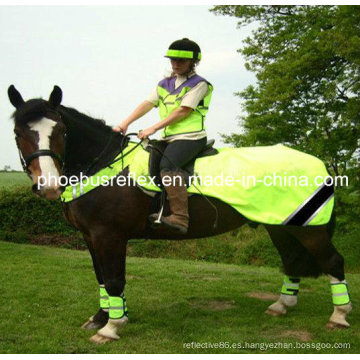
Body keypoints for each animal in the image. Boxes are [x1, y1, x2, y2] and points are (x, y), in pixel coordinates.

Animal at [7, 84, 352, 344]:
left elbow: (115, 279)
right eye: (18, 133)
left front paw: (111, 327)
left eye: (61, 130)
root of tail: (318, 162)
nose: (49, 186)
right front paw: (103, 317)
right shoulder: (91, 236)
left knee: (334, 262)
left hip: (308, 229)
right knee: (292, 260)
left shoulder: (110, 235)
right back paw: (282, 305)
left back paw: (338, 316)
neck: (106, 165)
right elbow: (102, 278)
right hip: (279, 226)